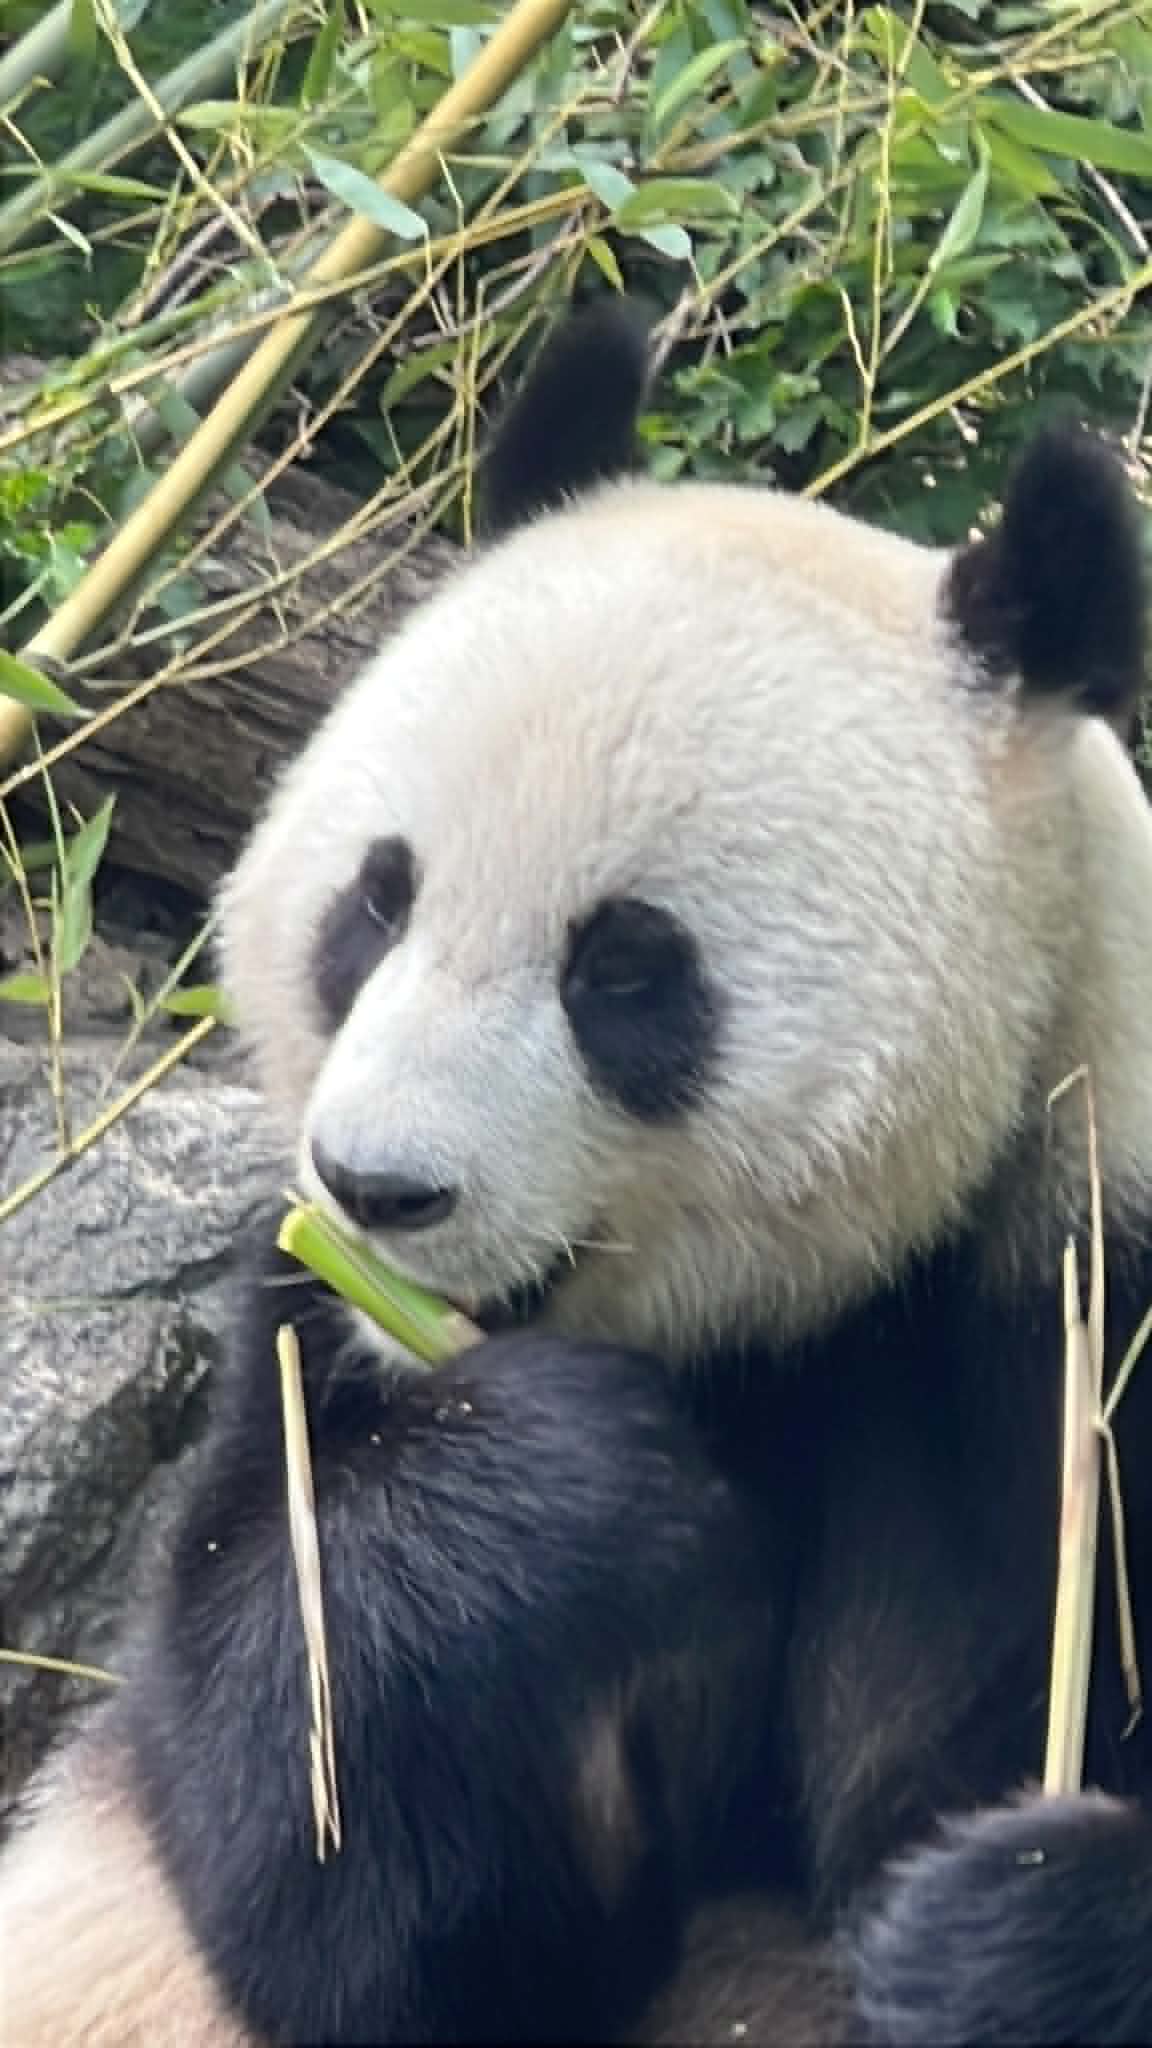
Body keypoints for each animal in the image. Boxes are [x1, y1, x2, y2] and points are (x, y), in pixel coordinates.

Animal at [2, 298, 1151, 2048]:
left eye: (623, 968)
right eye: (377, 901)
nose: (378, 1189)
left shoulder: (1077, 1301)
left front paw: (1002, 1931)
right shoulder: (304, 1347)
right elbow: (343, 1877)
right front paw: (557, 1476)